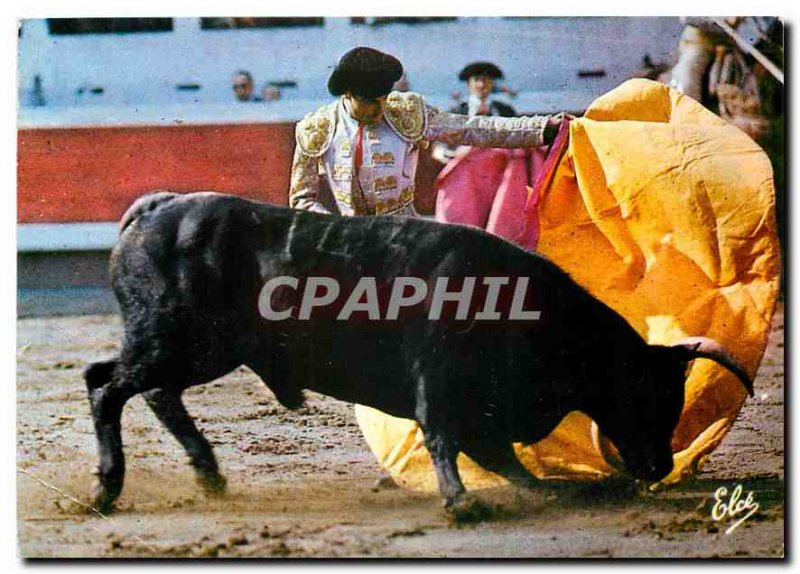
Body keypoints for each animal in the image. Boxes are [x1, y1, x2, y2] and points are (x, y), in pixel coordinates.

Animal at [84, 194, 752, 520]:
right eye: (644, 395)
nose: (658, 466)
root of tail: (154, 211)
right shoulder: (441, 381)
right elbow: (444, 437)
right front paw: (461, 504)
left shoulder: (485, 410)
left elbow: (500, 456)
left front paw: (538, 490)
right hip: (181, 343)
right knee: (106, 386)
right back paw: (108, 491)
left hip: (191, 350)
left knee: (149, 390)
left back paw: (209, 476)